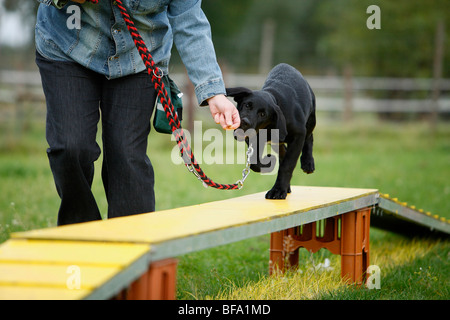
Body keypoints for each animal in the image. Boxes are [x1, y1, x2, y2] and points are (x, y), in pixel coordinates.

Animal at [227, 62, 314, 199]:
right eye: (247, 105)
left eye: (262, 114)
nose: (245, 122)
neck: (268, 127)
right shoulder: (254, 139)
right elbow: (254, 162)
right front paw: (268, 163)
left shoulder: (298, 135)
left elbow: (287, 165)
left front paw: (278, 190)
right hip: (277, 143)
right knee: (283, 152)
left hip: (311, 119)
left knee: (309, 137)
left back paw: (308, 162)